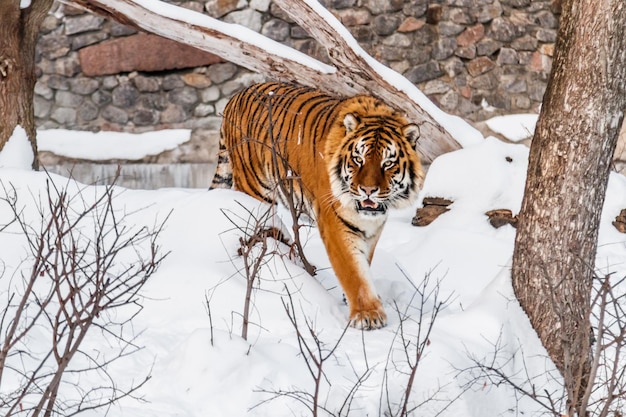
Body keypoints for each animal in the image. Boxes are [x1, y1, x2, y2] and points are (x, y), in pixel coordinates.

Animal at [211, 81, 424, 328]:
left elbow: (364, 262)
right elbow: (352, 270)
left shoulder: (373, 226)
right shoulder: (334, 221)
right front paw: (367, 314)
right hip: (254, 189)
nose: (368, 190)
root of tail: (236, 96)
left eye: (387, 163)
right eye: (358, 159)